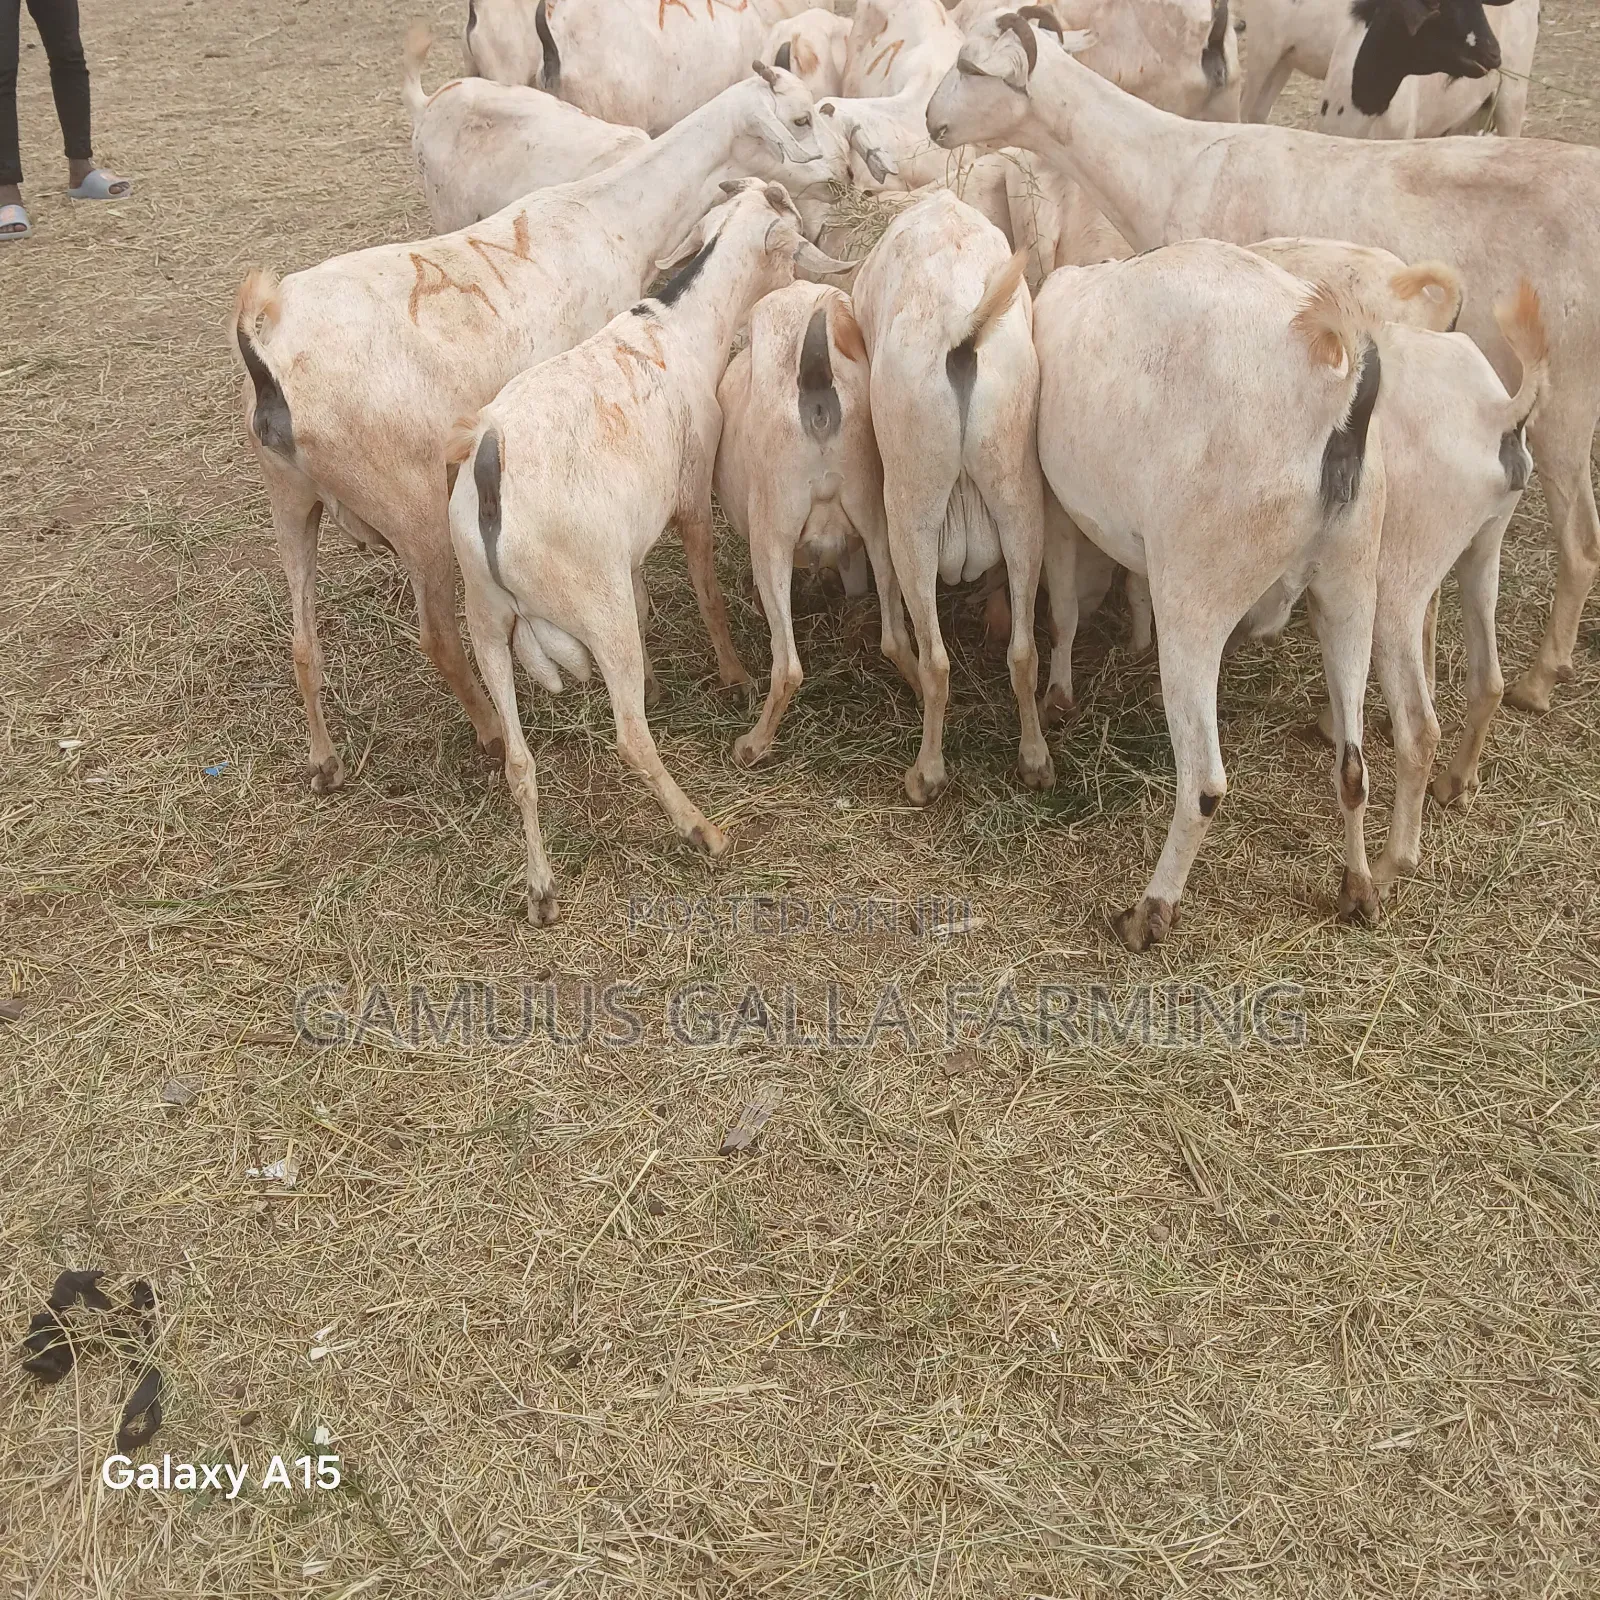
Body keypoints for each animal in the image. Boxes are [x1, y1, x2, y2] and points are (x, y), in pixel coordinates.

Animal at [232, 67, 840, 794]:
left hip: (289, 500)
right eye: (801, 118)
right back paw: (492, 736)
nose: (843, 177)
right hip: (411, 507)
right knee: (440, 638)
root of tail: (266, 353)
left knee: (303, 642)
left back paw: (325, 761)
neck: (612, 217)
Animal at [448, 183, 851, 922]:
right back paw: (702, 829)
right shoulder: (689, 494)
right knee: (630, 736)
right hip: (588, 601)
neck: (679, 327)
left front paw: (664, 681)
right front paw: (733, 675)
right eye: (789, 244)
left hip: (486, 615)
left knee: (519, 761)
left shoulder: (627, 545)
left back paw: (542, 890)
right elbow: (705, 589)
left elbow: (643, 596)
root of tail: (489, 466)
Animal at [851, 190, 1052, 803]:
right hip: (1018, 493)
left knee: (936, 661)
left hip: (911, 509)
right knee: (1024, 651)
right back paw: (1035, 760)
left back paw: (926, 774)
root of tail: (961, 331)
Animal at [927, 15, 1600, 713]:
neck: (1169, 166)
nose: (932, 123)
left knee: (1581, 544)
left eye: (972, 67)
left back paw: (1540, 678)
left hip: (1569, 395)